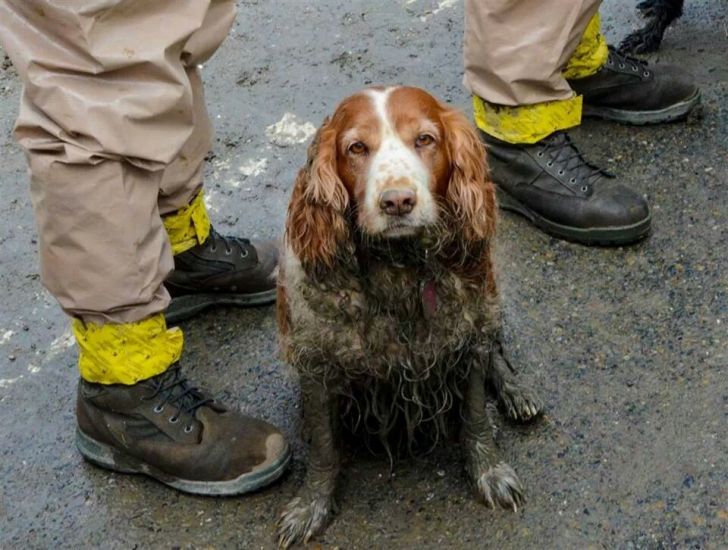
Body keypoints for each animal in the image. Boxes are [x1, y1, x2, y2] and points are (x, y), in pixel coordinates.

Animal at [276, 86, 544, 548]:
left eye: (425, 139)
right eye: (356, 148)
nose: (398, 201)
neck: (398, 269)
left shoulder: (468, 334)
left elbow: (476, 416)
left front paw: (489, 472)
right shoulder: (317, 361)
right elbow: (324, 447)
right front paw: (311, 506)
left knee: (497, 352)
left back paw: (517, 392)